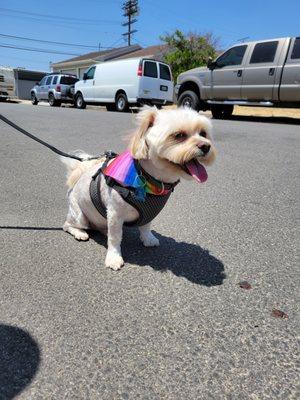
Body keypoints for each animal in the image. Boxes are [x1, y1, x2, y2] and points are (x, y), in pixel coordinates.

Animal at [61, 106, 216, 270]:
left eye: (203, 133)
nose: (206, 146)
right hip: (79, 216)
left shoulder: (149, 212)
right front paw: (114, 257)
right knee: (67, 225)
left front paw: (148, 239)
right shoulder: (115, 214)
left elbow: (146, 227)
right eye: (179, 135)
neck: (150, 180)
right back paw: (80, 233)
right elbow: (115, 238)